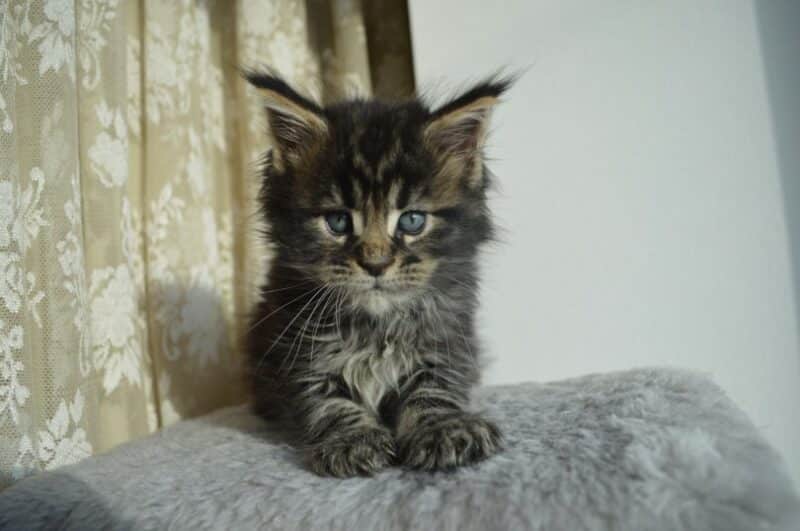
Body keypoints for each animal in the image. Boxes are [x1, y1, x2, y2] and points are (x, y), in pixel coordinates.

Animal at [245, 71, 512, 478]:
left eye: (412, 221)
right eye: (338, 221)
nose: (375, 263)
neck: (376, 324)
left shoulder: (447, 341)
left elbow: (433, 390)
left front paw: (443, 428)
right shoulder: (294, 351)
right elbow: (326, 401)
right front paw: (352, 439)